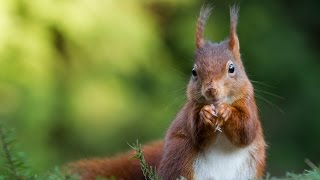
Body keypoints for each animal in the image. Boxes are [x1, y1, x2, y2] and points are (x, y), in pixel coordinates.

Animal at [67, 4, 264, 179]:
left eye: (231, 68)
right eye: (194, 72)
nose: (211, 90)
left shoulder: (248, 103)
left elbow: (246, 130)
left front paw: (227, 111)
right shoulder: (191, 110)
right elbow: (197, 134)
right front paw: (205, 115)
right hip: (182, 159)